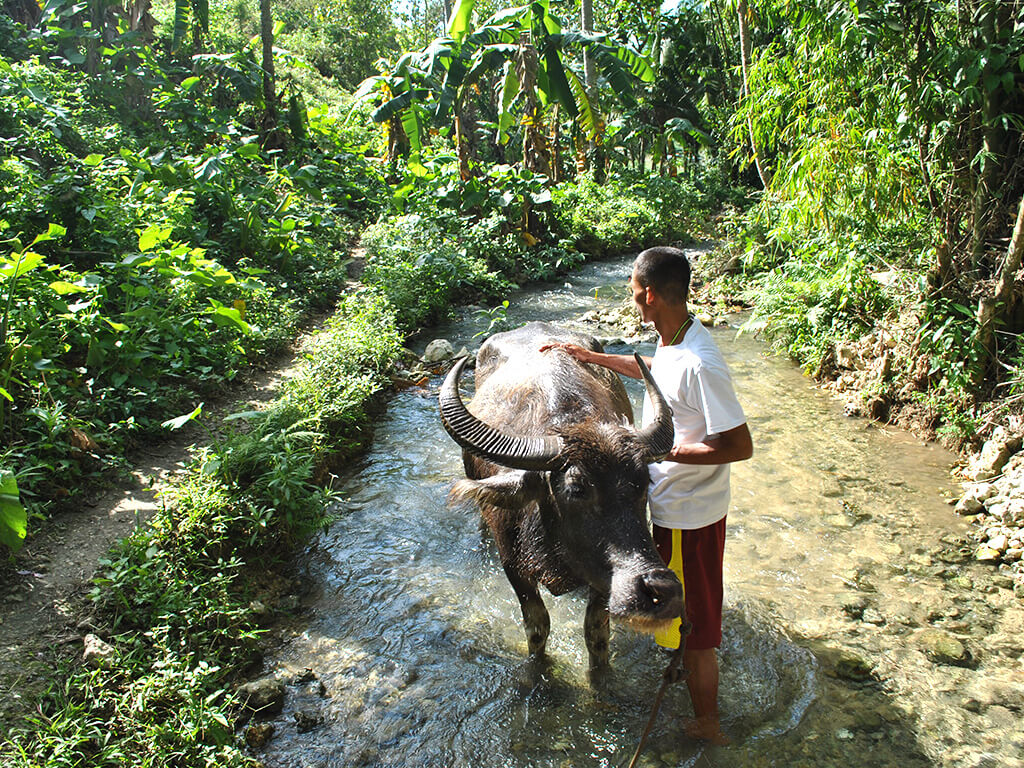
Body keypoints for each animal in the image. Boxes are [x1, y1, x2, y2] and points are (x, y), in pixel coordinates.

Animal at [438, 321, 684, 671]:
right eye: (577, 488)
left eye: (643, 483)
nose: (659, 590)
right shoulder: (514, 566)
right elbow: (537, 626)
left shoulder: (602, 578)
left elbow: (596, 634)